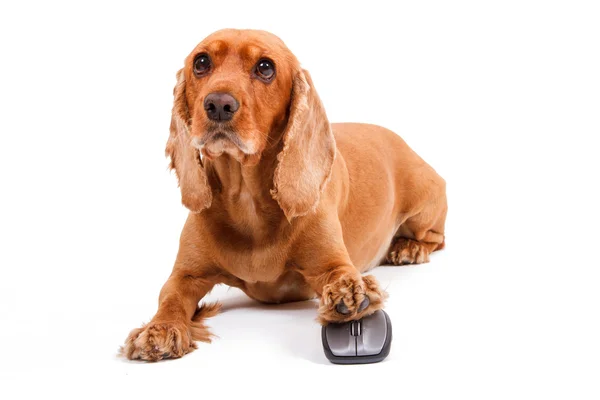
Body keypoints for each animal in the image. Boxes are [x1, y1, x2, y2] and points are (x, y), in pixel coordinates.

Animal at [119, 28, 446, 360]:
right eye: (201, 62)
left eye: (265, 67)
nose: (218, 104)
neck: (247, 200)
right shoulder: (186, 275)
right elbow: (170, 297)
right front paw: (159, 329)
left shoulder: (332, 264)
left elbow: (342, 275)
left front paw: (351, 296)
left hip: (424, 207)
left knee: (436, 238)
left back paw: (408, 248)